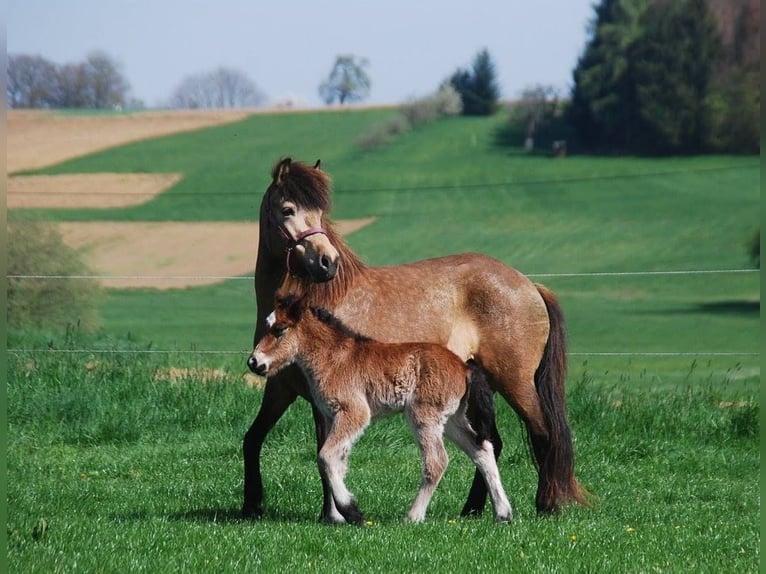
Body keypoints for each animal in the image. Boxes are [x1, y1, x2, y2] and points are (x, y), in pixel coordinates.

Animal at [249, 292, 514, 524]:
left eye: (280, 329)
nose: (253, 362)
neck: (334, 358)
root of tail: (463, 367)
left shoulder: (353, 413)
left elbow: (325, 457)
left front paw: (352, 512)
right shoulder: (333, 417)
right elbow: (337, 462)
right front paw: (337, 517)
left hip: (423, 415)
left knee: (437, 461)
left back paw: (413, 516)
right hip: (452, 420)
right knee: (482, 451)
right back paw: (503, 514)